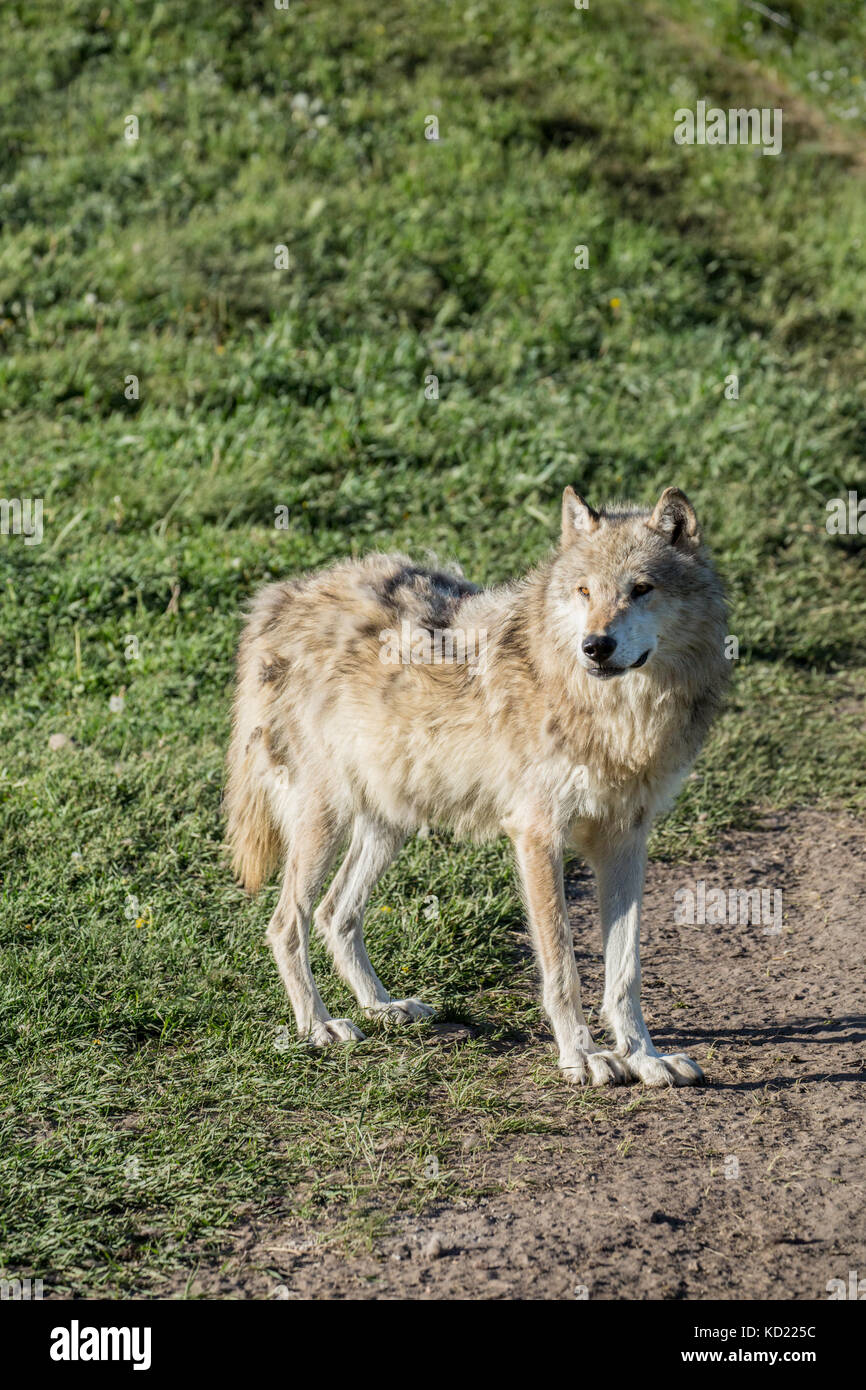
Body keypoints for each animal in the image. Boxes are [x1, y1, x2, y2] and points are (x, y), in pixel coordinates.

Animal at [226, 489, 728, 1084]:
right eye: (584, 591)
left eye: (642, 589)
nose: (595, 646)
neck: (617, 716)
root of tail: (280, 597)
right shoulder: (537, 835)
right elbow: (563, 967)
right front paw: (583, 1057)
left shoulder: (626, 840)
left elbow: (625, 974)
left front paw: (645, 1058)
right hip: (325, 820)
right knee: (286, 923)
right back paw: (319, 1026)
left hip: (388, 823)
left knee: (335, 914)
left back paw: (383, 1007)